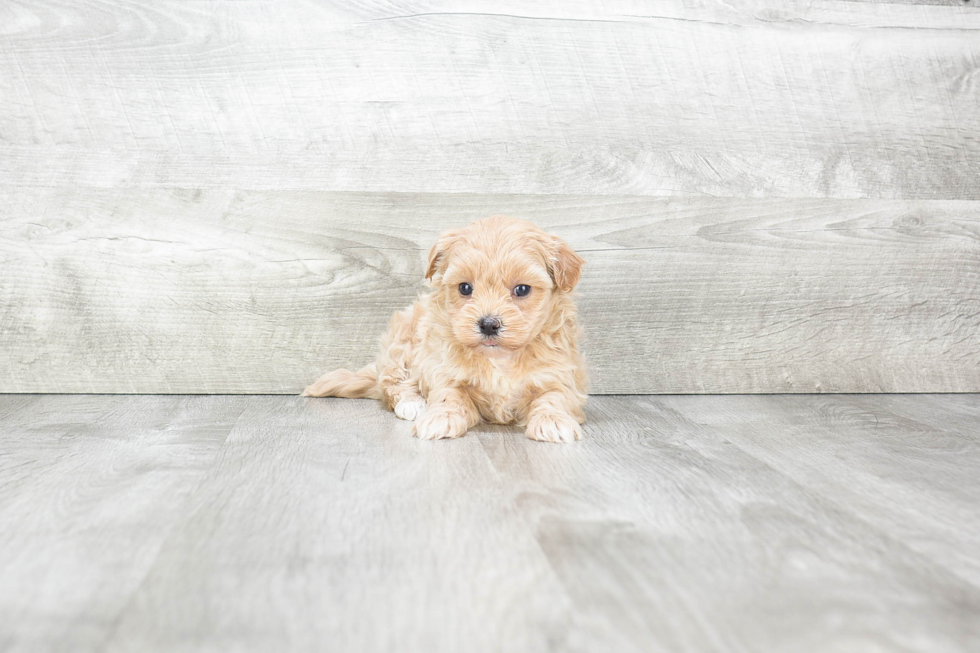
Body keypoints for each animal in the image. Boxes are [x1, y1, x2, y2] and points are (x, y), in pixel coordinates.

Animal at [302, 216, 584, 440]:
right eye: (465, 288)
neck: (499, 358)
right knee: (392, 382)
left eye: (522, 289)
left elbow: (554, 397)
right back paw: (412, 404)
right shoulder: (444, 370)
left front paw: (553, 422)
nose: (488, 324)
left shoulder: (558, 374)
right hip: (403, 339)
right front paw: (440, 419)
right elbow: (450, 396)